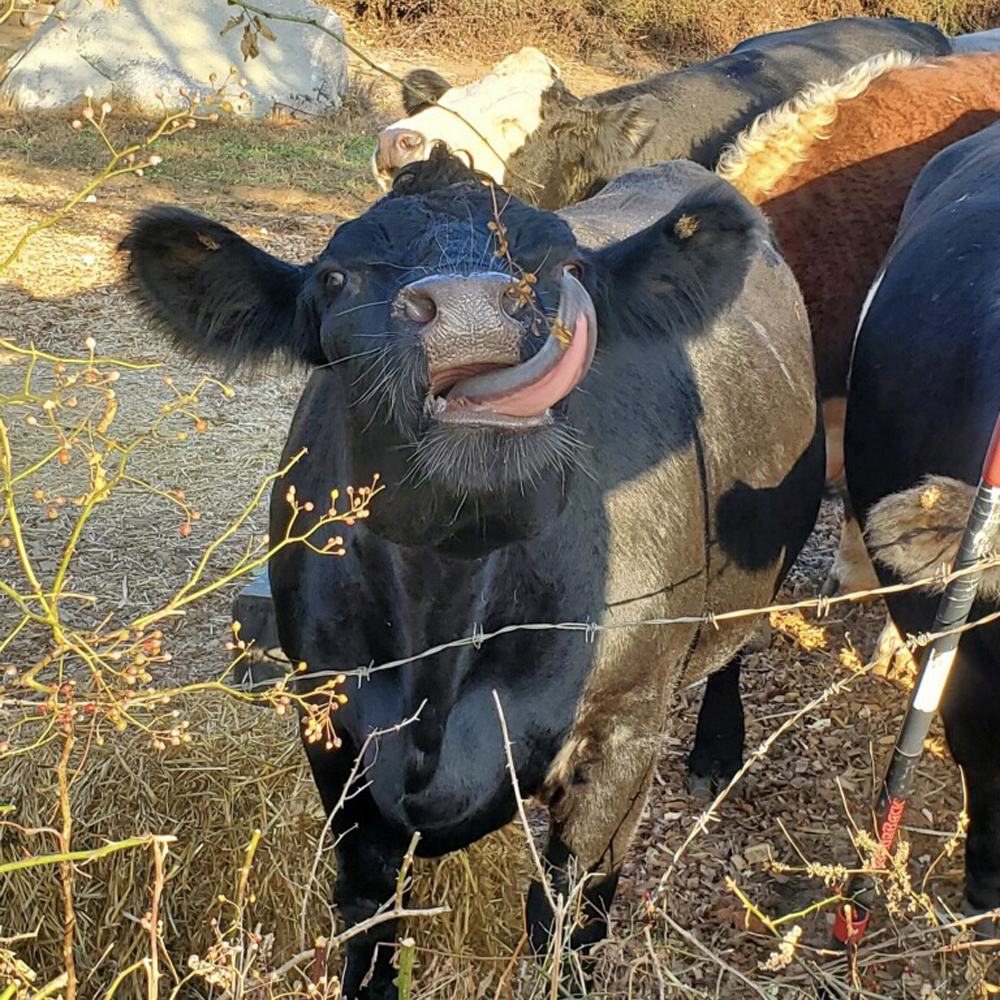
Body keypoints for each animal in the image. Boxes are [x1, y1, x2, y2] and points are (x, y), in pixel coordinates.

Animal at [122, 149, 825, 997]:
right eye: (334, 278)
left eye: (568, 268)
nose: (472, 313)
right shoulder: (330, 723)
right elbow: (370, 921)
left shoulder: (625, 729)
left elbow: (570, 920)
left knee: (735, 649)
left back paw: (717, 755)